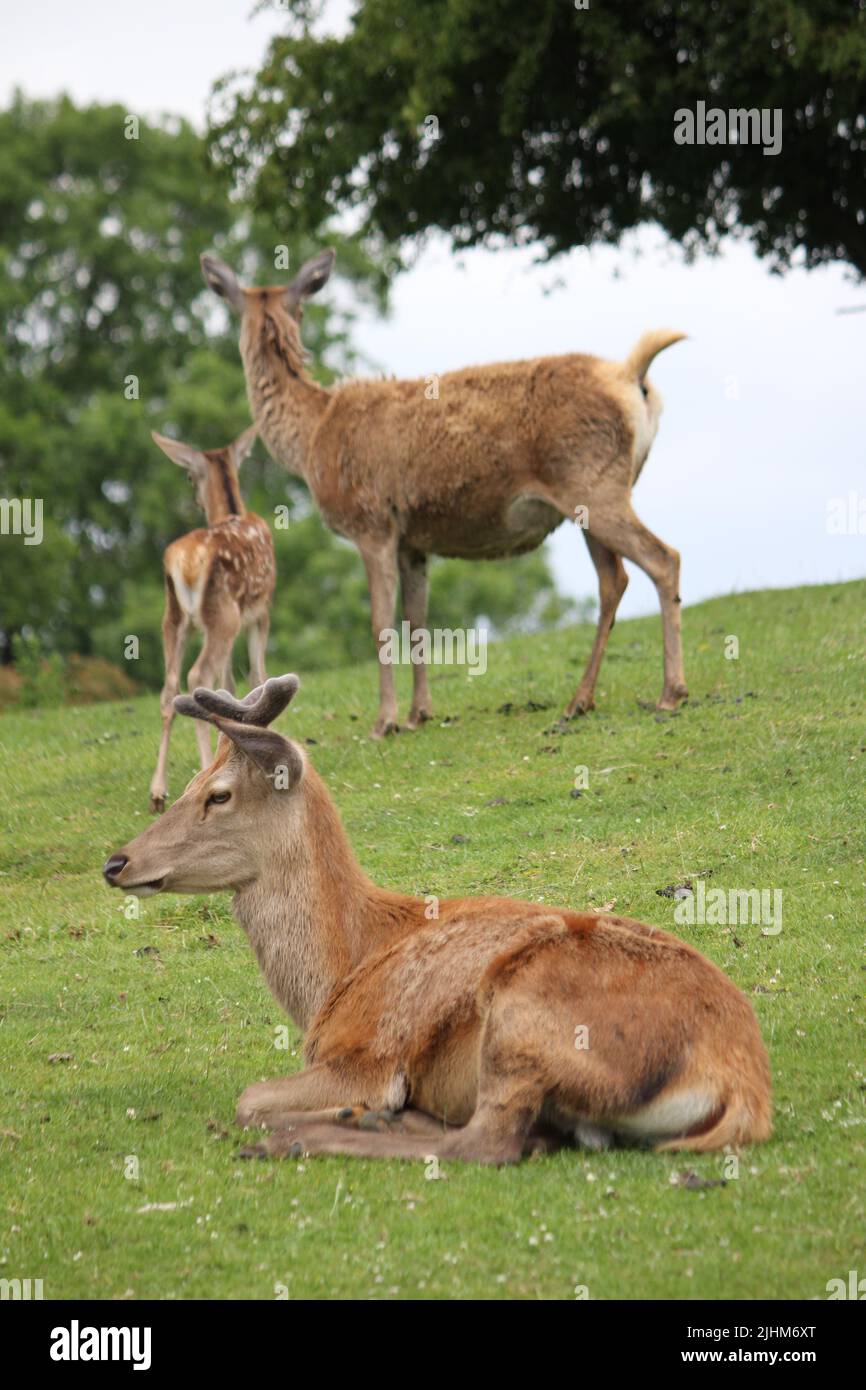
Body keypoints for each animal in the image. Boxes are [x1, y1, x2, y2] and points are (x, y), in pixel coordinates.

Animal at [103, 673, 772, 1166]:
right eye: (189, 782)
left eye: (217, 794)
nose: (116, 861)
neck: (334, 978)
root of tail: (741, 1084)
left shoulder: (366, 1056)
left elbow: (249, 1097)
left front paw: (343, 1111)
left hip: (522, 1018)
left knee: (487, 1144)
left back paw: (312, 1133)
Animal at [147, 426, 276, 814]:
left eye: (190, 476)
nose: (197, 502)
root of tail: (187, 563)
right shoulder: (260, 612)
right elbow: (256, 676)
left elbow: (229, 686)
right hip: (223, 615)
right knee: (196, 676)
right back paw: (203, 771)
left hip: (175, 617)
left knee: (170, 685)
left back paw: (157, 791)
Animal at [201, 248, 687, 738]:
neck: (311, 437)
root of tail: (634, 379)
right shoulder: (412, 541)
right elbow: (418, 620)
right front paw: (420, 713)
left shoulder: (371, 523)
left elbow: (381, 622)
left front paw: (385, 721)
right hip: (589, 497)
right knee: (614, 580)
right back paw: (579, 701)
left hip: (593, 482)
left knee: (662, 558)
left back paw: (670, 692)